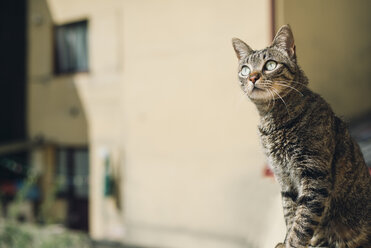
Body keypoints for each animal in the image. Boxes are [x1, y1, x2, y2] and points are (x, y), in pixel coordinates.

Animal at [232, 24, 371, 247]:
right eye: (245, 70)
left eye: (270, 65)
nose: (252, 77)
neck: (273, 121)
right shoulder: (284, 178)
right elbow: (290, 215)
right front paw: (285, 240)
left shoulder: (314, 174)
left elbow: (302, 220)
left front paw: (292, 242)